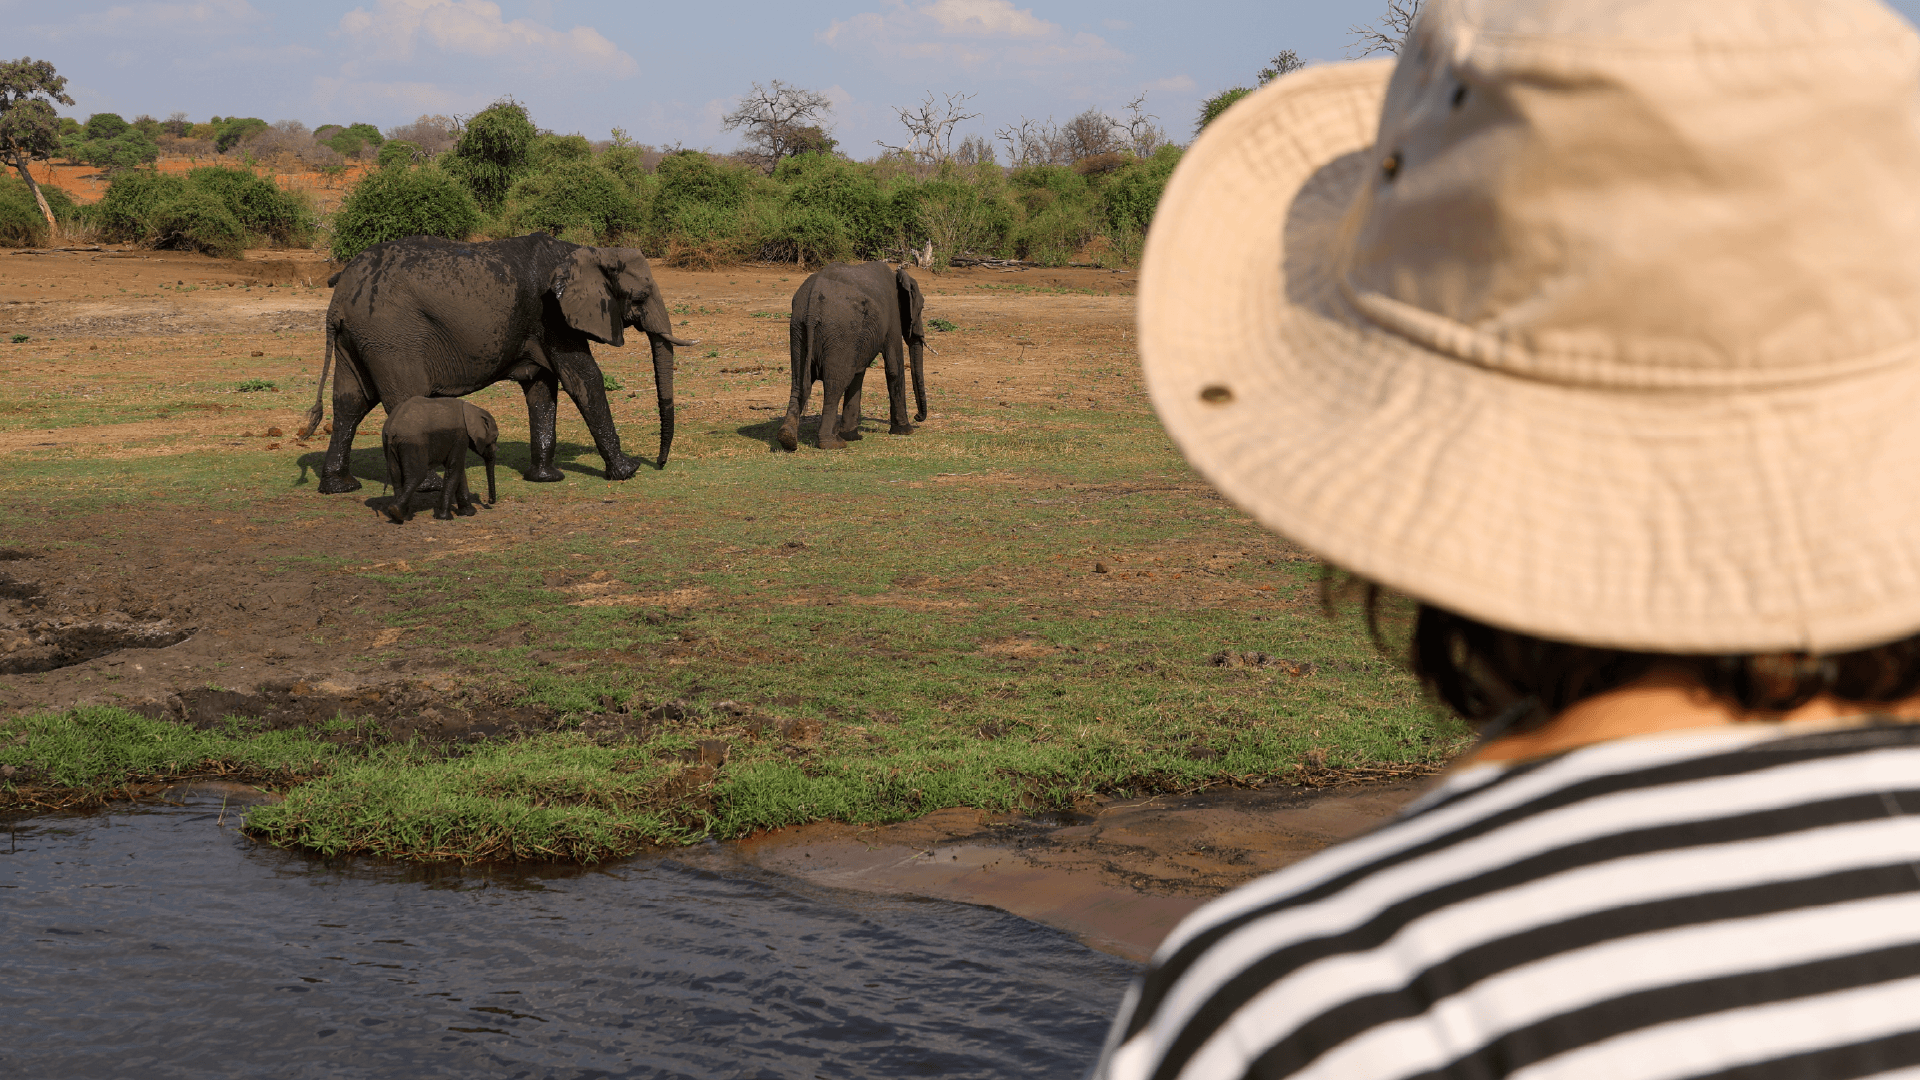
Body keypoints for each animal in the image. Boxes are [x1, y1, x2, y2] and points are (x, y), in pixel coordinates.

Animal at [300, 233, 696, 494]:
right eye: (640, 297)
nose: (659, 463)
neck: (588, 250)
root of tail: (338, 295)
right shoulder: (553, 316)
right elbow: (584, 379)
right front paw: (627, 471)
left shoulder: (542, 323)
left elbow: (542, 389)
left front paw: (546, 479)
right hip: (391, 336)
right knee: (403, 400)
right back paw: (427, 486)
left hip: (358, 337)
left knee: (350, 403)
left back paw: (340, 486)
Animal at [778, 261, 927, 451]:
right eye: (921, 308)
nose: (918, 417)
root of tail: (812, 306)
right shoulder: (892, 316)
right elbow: (894, 368)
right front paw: (905, 431)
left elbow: (858, 375)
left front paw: (852, 436)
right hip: (839, 332)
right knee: (834, 386)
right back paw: (832, 443)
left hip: (798, 328)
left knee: (798, 383)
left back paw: (787, 439)